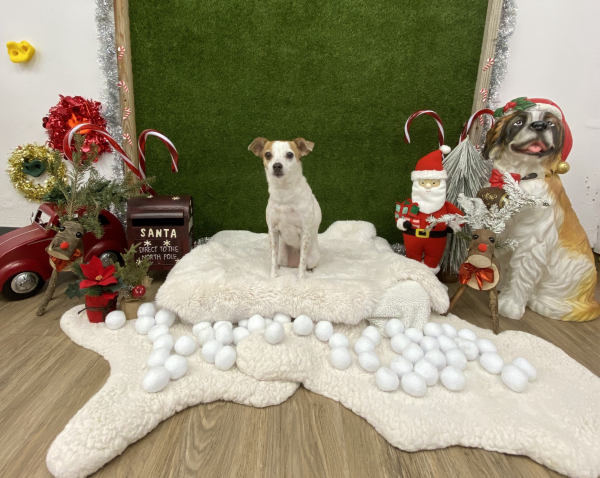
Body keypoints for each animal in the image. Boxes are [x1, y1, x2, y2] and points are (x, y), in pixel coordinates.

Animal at [250, 136, 324, 278]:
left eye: (290, 154)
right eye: (268, 154)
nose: (277, 165)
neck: (284, 192)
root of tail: (292, 264)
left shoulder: (304, 232)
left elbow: (302, 262)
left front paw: (301, 279)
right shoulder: (273, 231)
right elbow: (273, 258)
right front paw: (273, 276)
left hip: (313, 257)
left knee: (306, 264)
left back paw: (309, 270)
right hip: (283, 256)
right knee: (280, 261)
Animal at [482, 97, 600, 322]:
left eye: (551, 123)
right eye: (519, 121)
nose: (539, 125)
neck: (519, 178)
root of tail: (591, 300)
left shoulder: (535, 240)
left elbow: (523, 271)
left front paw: (510, 305)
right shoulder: (501, 231)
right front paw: (500, 284)